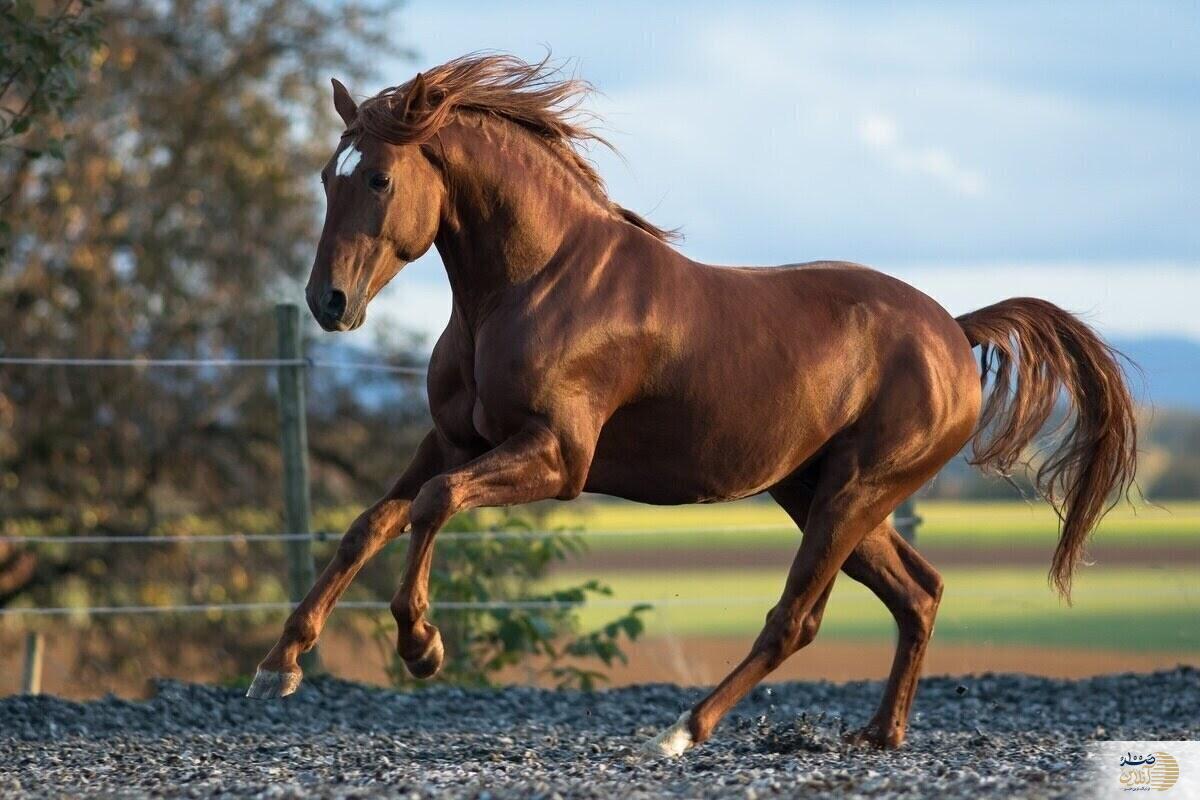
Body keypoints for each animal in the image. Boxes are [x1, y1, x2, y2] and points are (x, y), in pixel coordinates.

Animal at [243, 53, 1132, 753]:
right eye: (326, 177)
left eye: (380, 178)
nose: (328, 302)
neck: (532, 284)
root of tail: (953, 328)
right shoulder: (453, 439)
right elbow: (370, 522)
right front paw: (278, 665)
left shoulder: (556, 458)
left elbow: (431, 505)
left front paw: (421, 646)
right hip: (821, 491)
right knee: (919, 593)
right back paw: (879, 734)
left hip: (854, 492)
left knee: (798, 618)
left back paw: (681, 731)